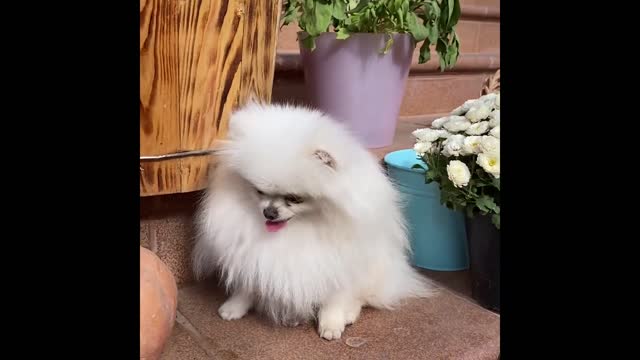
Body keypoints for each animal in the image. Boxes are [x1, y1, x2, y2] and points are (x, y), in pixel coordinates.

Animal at [192, 100, 436, 338]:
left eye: (294, 198)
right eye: (259, 191)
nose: (269, 212)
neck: (299, 228)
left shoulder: (339, 262)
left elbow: (336, 297)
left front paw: (332, 323)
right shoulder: (250, 256)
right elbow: (248, 285)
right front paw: (235, 306)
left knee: (362, 297)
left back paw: (349, 313)